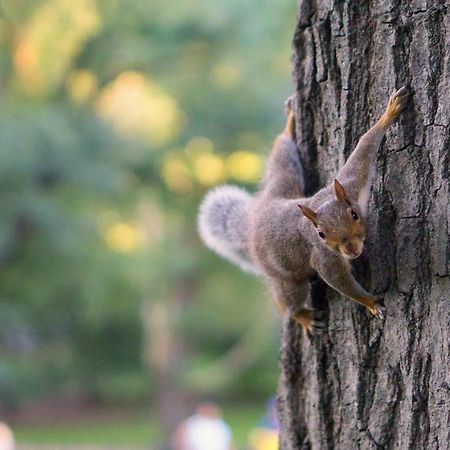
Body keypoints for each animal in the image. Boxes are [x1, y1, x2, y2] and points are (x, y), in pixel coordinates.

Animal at [199, 88, 410, 332]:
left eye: (354, 215)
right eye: (321, 234)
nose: (351, 250)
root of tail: (254, 220)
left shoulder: (351, 184)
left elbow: (365, 146)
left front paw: (390, 112)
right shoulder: (324, 258)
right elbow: (340, 283)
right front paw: (371, 303)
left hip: (283, 180)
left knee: (281, 158)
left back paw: (288, 127)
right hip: (285, 277)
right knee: (286, 301)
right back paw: (303, 317)